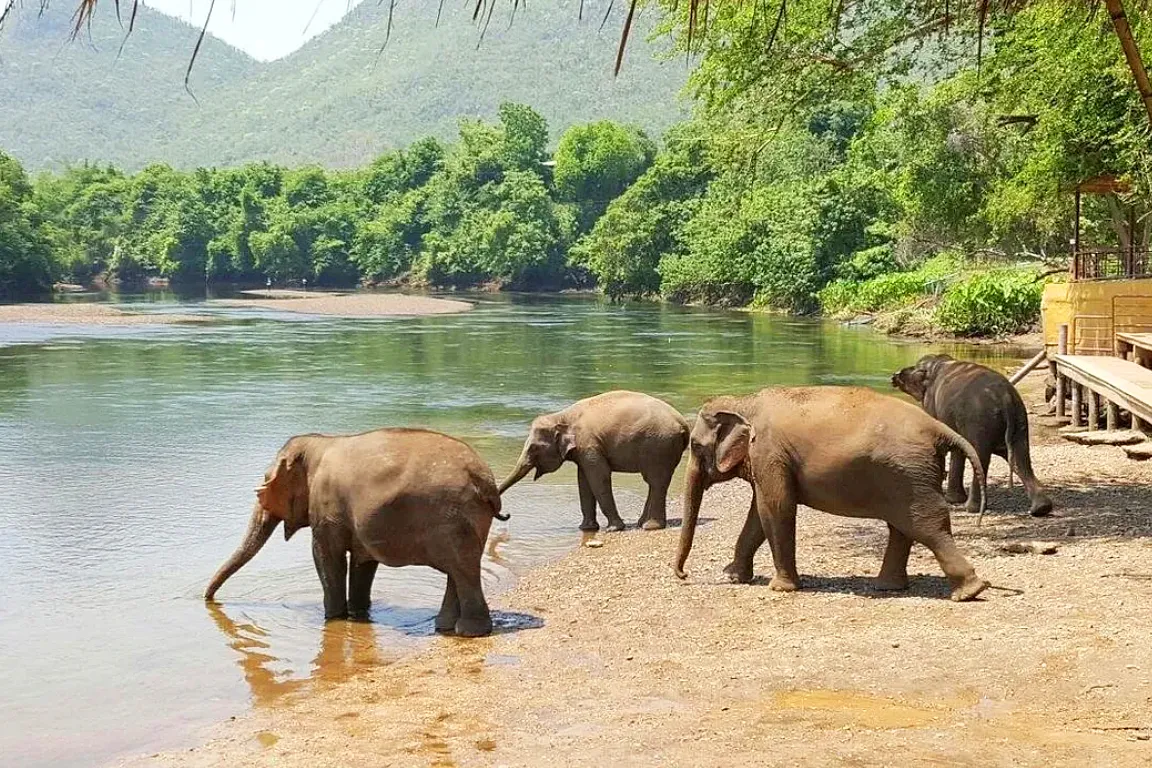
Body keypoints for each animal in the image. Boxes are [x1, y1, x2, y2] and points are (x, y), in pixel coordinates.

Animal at [205, 428, 508, 637]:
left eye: (263, 488)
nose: (207, 599)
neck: (318, 442)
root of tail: (485, 480)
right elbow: (363, 563)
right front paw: (357, 614)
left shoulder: (326, 507)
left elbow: (326, 557)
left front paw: (333, 617)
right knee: (458, 571)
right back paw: (445, 627)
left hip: (453, 521)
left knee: (461, 569)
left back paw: (469, 632)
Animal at [499, 390, 690, 532]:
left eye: (533, 448)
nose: (507, 515)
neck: (562, 416)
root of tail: (683, 424)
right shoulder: (583, 451)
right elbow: (583, 481)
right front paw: (586, 528)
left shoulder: (589, 444)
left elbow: (599, 478)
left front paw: (613, 529)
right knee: (654, 483)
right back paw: (641, 524)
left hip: (659, 446)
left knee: (656, 482)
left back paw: (650, 527)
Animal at [675, 386, 990, 602]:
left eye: (695, 445)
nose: (683, 575)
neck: (744, 402)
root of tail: (937, 427)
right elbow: (759, 513)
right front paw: (733, 576)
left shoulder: (769, 452)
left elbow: (775, 508)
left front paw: (780, 588)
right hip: (907, 476)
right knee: (903, 527)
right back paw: (888, 586)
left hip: (908, 473)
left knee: (926, 523)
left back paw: (969, 591)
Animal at [892, 354, 1053, 518]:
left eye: (915, 367)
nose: (895, 375)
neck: (938, 362)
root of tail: (1006, 398)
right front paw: (954, 499)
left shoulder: (932, 406)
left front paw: (952, 500)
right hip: (1019, 422)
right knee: (1019, 459)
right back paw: (1041, 508)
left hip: (980, 423)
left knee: (982, 457)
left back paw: (972, 508)